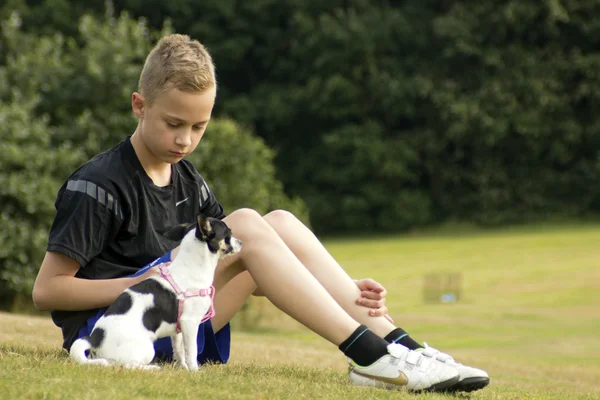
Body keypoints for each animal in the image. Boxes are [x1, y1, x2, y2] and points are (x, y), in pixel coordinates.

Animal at [68, 214, 241, 370]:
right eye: (228, 234)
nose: (240, 242)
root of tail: (95, 338)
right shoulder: (190, 323)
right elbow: (192, 351)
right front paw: (194, 371)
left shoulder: (178, 329)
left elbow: (179, 351)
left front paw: (183, 368)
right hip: (147, 349)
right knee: (127, 365)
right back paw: (152, 368)